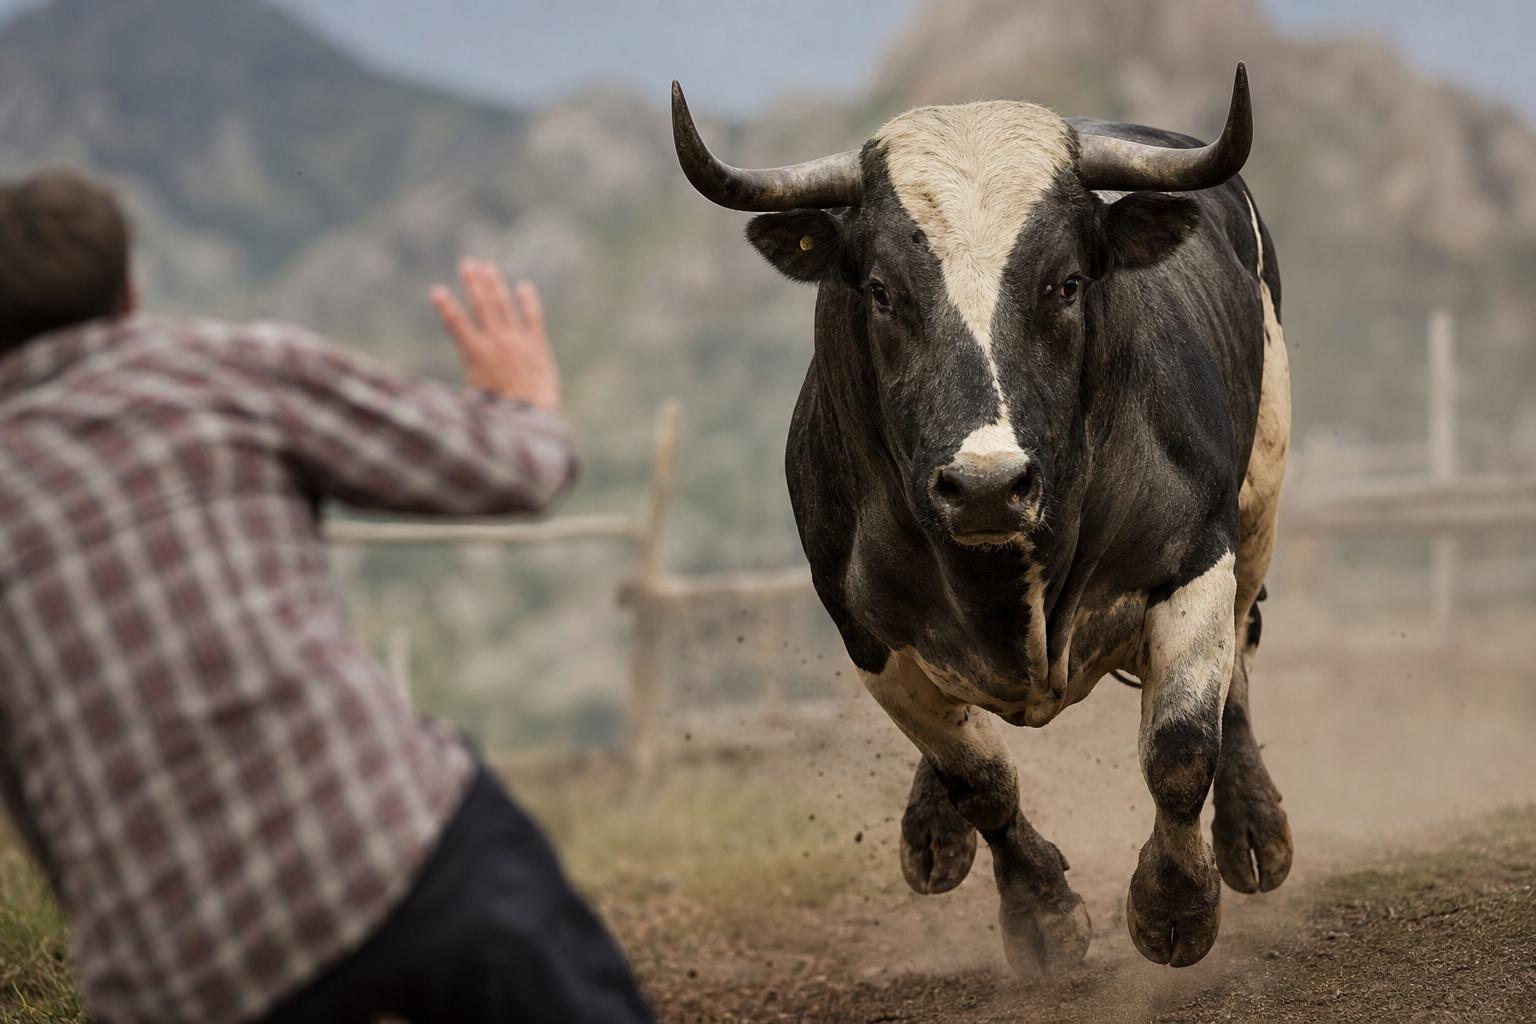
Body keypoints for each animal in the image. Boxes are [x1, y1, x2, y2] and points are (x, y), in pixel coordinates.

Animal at [670, 63, 1292, 974]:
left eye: (1067, 282)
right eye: (882, 291)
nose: (989, 486)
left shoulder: (1193, 556)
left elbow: (1180, 751)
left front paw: (1174, 906)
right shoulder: (866, 629)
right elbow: (980, 778)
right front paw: (1041, 913)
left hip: (1259, 500)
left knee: (1239, 666)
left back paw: (1254, 832)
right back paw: (933, 831)